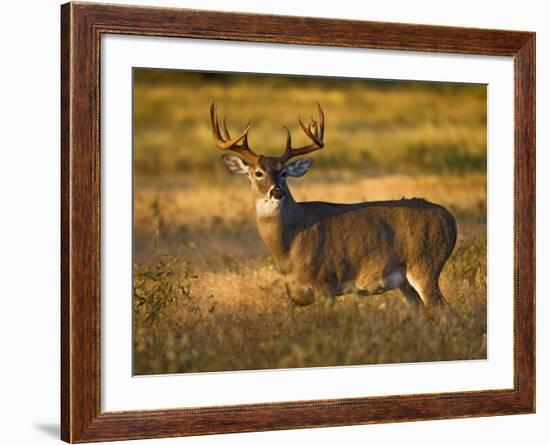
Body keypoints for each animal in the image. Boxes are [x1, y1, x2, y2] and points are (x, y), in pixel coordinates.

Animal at [209, 102, 460, 306]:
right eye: (258, 173)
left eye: (284, 173)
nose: (277, 191)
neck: (290, 244)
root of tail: (451, 220)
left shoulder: (326, 282)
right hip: (405, 282)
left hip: (425, 265)